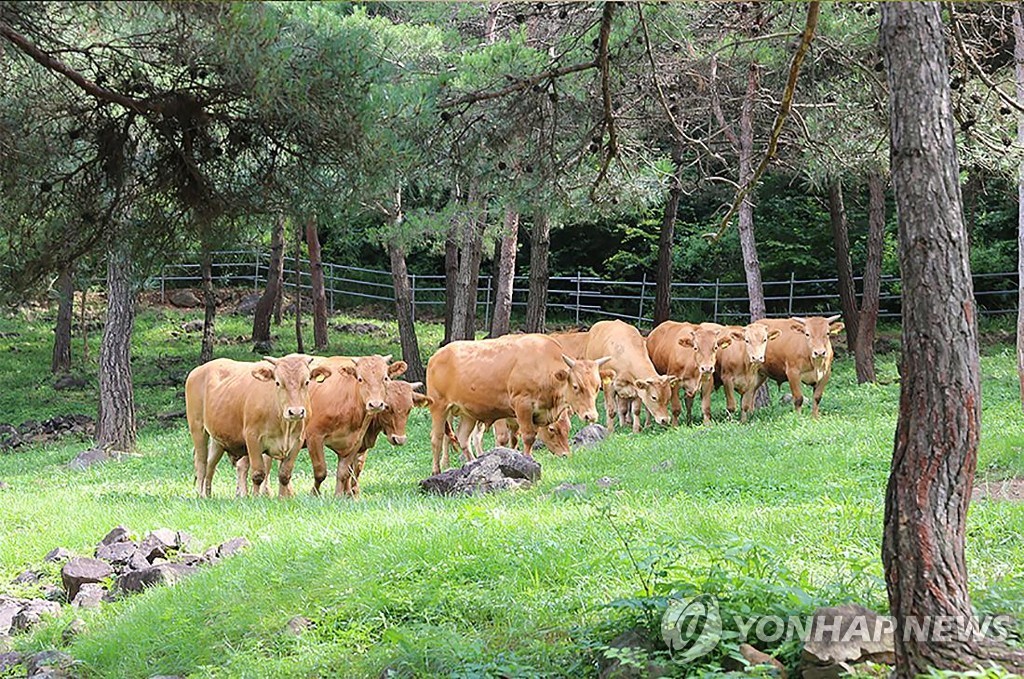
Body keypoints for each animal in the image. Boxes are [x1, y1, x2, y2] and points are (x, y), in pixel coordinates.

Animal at [183, 356, 327, 499]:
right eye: (278, 382)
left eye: (306, 382)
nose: (296, 412)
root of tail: (199, 369)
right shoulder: (252, 437)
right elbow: (258, 474)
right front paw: (256, 498)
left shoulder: (297, 440)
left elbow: (284, 474)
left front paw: (282, 498)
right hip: (197, 428)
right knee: (201, 463)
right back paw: (200, 494)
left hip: (218, 438)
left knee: (210, 464)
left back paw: (207, 494)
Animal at [301, 356, 405, 499]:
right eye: (360, 379)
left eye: (385, 378)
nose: (375, 404)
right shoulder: (314, 436)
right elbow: (320, 471)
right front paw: (314, 494)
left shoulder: (356, 441)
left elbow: (345, 472)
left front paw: (339, 495)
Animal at [425, 333, 606, 473]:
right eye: (576, 386)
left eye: (597, 387)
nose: (591, 415)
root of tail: (437, 356)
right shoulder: (521, 406)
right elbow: (527, 437)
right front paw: (527, 459)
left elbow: (519, 438)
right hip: (439, 407)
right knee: (437, 438)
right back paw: (437, 470)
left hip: (467, 413)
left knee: (463, 438)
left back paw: (472, 463)